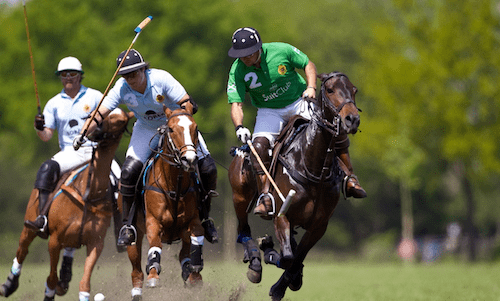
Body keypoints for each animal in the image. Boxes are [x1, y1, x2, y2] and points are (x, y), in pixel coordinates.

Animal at [0, 106, 133, 298]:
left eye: (120, 121)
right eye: (98, 112)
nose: (95, 131)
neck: (89, 194)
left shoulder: (96, 244)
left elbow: (84, 284)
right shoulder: (54, 241)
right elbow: (50, 280)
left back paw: (65, 277)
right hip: (30, 223)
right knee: (22, 249)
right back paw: (9, 284)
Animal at [125, 103, 205, 300]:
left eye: (195, 128)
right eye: (171, 129)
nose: (190, 159)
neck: (174, 184)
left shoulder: (192, 221)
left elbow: (196, 238)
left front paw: (195, 273)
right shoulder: (153, 222)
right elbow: (154, 245)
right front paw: (153, 275)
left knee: (184, 254)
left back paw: (188, 269)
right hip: (134, 233)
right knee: (136, 266)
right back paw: (137, 290)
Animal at [229, 71, 362, 298]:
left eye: (354, 90)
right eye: (330, 90)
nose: (352, 119)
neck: (315, 168)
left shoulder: (319, 225)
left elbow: (297, 257)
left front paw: (283, 285)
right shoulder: (282, 215)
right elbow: (288, 257)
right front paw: (270, 252)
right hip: (239, 195)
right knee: (243, 228)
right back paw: (255, 261)